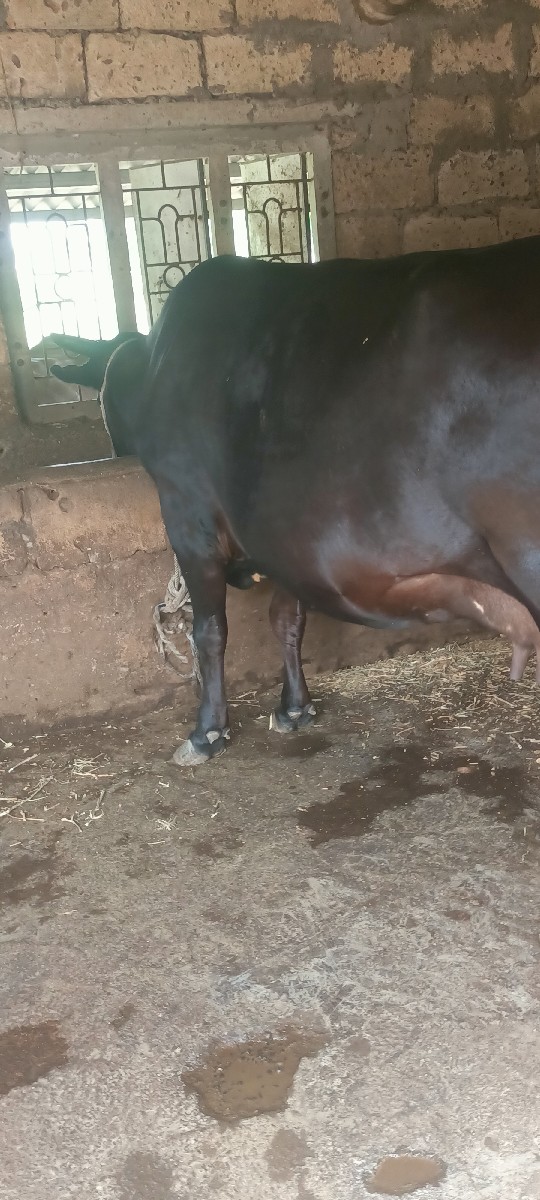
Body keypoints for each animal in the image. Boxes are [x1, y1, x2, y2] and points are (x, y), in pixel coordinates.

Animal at [50, 239, 540, 766]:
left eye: (105, 402)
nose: (112, 451)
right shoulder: (286, 540)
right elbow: (287, 618)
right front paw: (295, 707)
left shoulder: (188, 512)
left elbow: (209, 629)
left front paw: (208, 731)